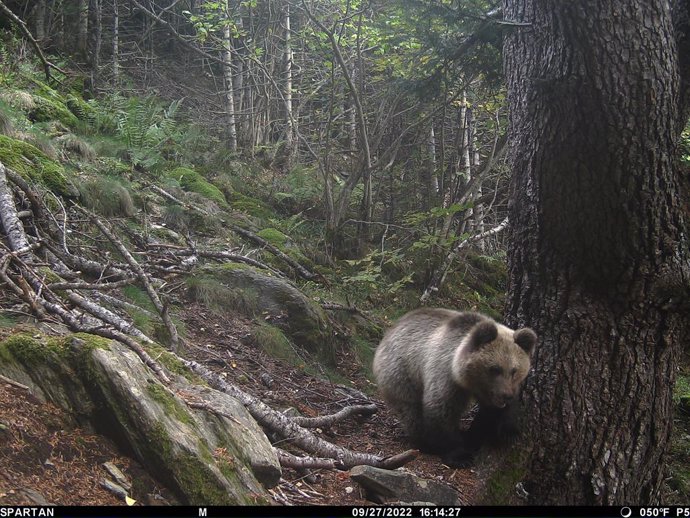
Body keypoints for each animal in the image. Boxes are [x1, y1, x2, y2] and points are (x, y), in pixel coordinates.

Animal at [374, 308, 536, 468]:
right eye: (495, 369)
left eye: (514, 370)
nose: (506, 395)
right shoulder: (446, 376)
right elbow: (442, 410)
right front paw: (459, 456)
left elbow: (494, 413)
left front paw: (508, 432)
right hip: (401, 372)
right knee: (411, 410)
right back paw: (423, 442)